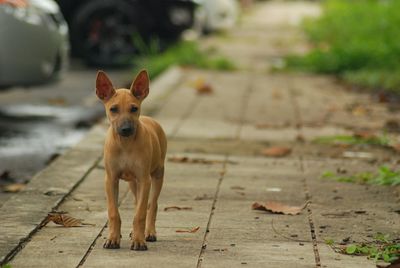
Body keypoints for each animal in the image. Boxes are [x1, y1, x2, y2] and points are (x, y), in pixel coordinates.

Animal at [96, 70, 166, 250]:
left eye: (134, 108)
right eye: (113, 109)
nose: (126, 129)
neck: (125, 144)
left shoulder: (144, 179)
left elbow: (140, 213)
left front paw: (139, 241)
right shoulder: (111, 179)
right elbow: (114, 212)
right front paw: (113, 238)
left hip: (157, 175)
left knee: (152, 205)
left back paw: (149, 232)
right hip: (133, 183)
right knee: (136, 202)